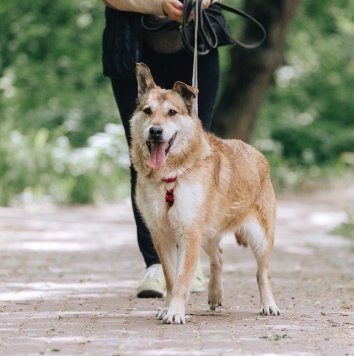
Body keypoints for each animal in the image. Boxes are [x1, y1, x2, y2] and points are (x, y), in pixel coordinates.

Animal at [130, 62, 280, 324]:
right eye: (148, 111)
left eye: (172, 113)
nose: (155, 131)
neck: (169, 178)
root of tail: (258, 154)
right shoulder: (162, 236)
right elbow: (171, 278)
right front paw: (168, 308)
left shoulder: (188, 235)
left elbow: (182, 279)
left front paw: (175, 312)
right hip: (208, 235)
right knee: (218, 257)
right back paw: (214, 294)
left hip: (260, 239)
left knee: (263, 272)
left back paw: (268, 304)